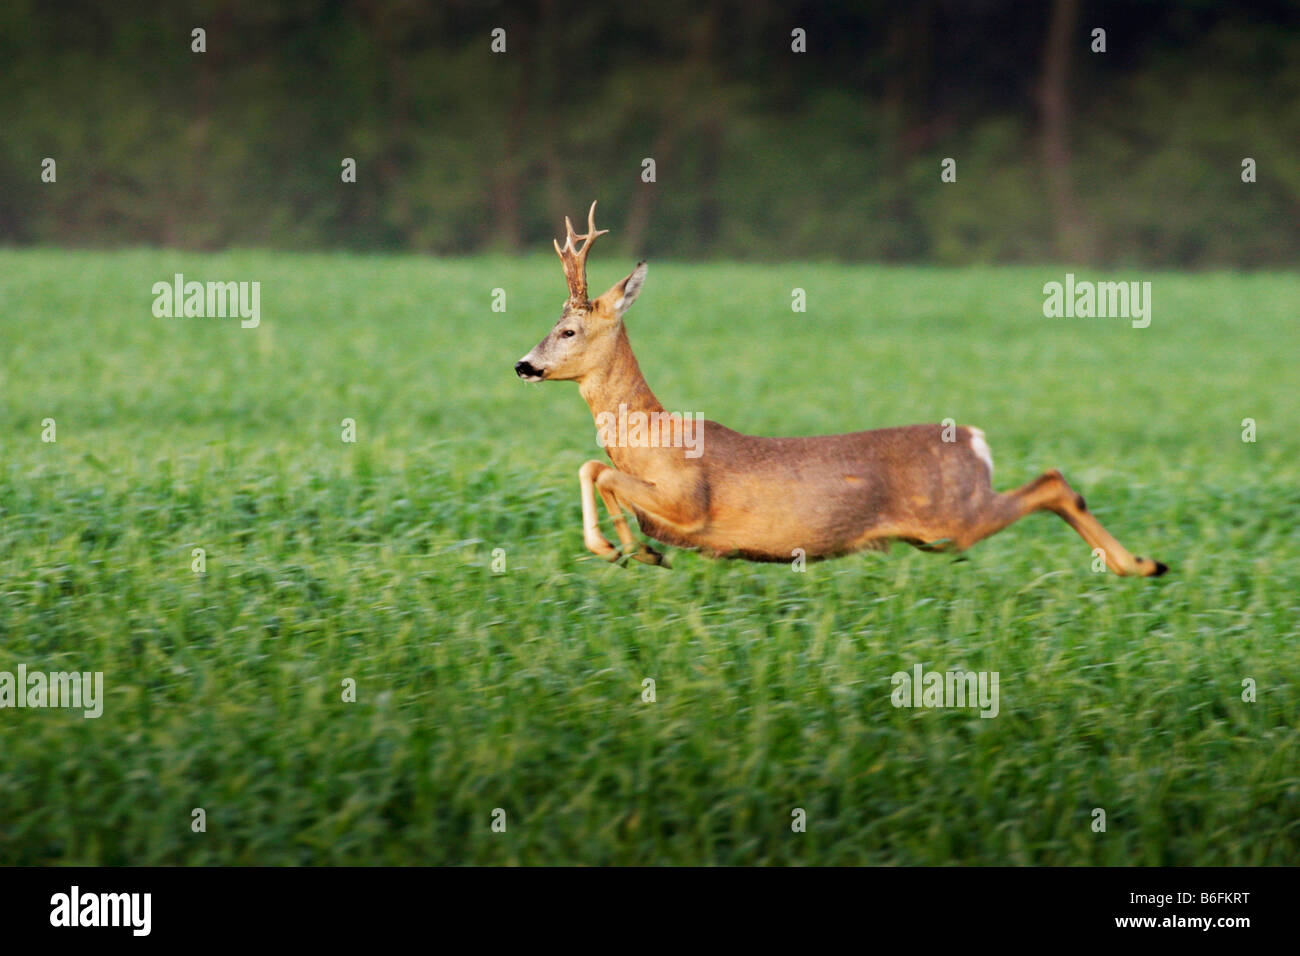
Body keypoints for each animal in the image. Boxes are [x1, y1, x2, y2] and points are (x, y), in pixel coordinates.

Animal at [512, 199, 1175, 580]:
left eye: (567, 330)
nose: (523, 365)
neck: (650, 434)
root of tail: (976, 440)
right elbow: (595, 469)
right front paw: (637, 550)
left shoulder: (689, 501)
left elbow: (598, 470)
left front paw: (618, 547)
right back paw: (1143, 565)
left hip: (954, 514)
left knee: (1053, 483)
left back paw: (1143, 564)